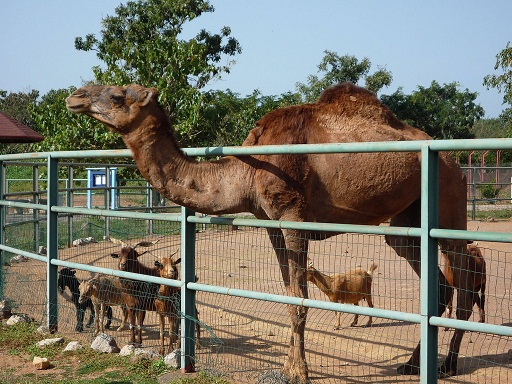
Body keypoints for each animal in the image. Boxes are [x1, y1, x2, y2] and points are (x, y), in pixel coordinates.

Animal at [67, 82, 476, 380]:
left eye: (117, 95)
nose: (76, 95)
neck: (246, 169)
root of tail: (456, 162)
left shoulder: (293, 215)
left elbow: (300, 298)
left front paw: (298, 372)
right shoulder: (271, 224)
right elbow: (288, 294)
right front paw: (289, 366)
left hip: (449, 199)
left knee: (465, 279)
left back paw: (447, 364)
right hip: (407, 222)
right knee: (437, 283)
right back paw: (412, 364)